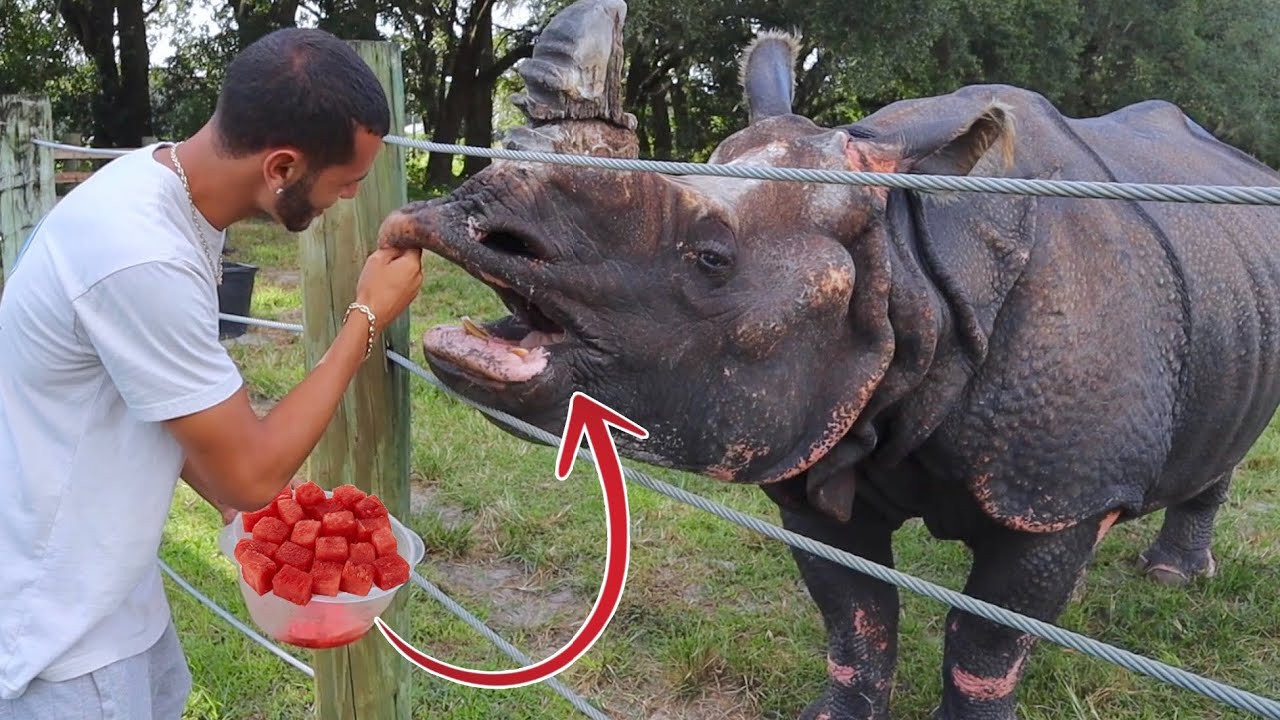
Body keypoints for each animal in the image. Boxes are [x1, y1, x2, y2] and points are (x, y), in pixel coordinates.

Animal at [377, 0, 1280, 717]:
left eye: (711, 259)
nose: (467, 220)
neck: (904, 258)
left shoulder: (1056, 483)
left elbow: (984, 646)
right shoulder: (812, 428)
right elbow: (856, 615)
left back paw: (1173, 579)